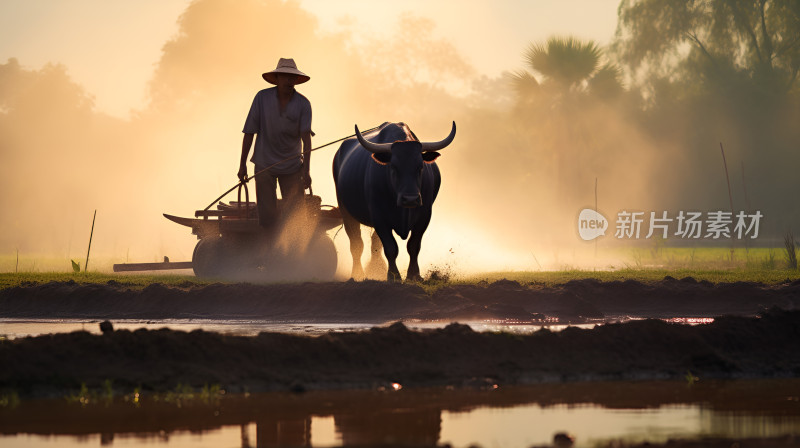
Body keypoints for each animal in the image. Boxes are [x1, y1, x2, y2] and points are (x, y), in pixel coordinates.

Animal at [332, 122, 456, 282]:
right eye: (393, 167)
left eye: (420, 167)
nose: (410, 199)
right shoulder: (379, 217)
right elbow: (391, 248)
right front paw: (393, 276)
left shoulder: (424, 217)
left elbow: (413, 246)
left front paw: (414, 275)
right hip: (345, 211)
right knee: (356, 244)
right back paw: (357, 274)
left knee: (374, 244)